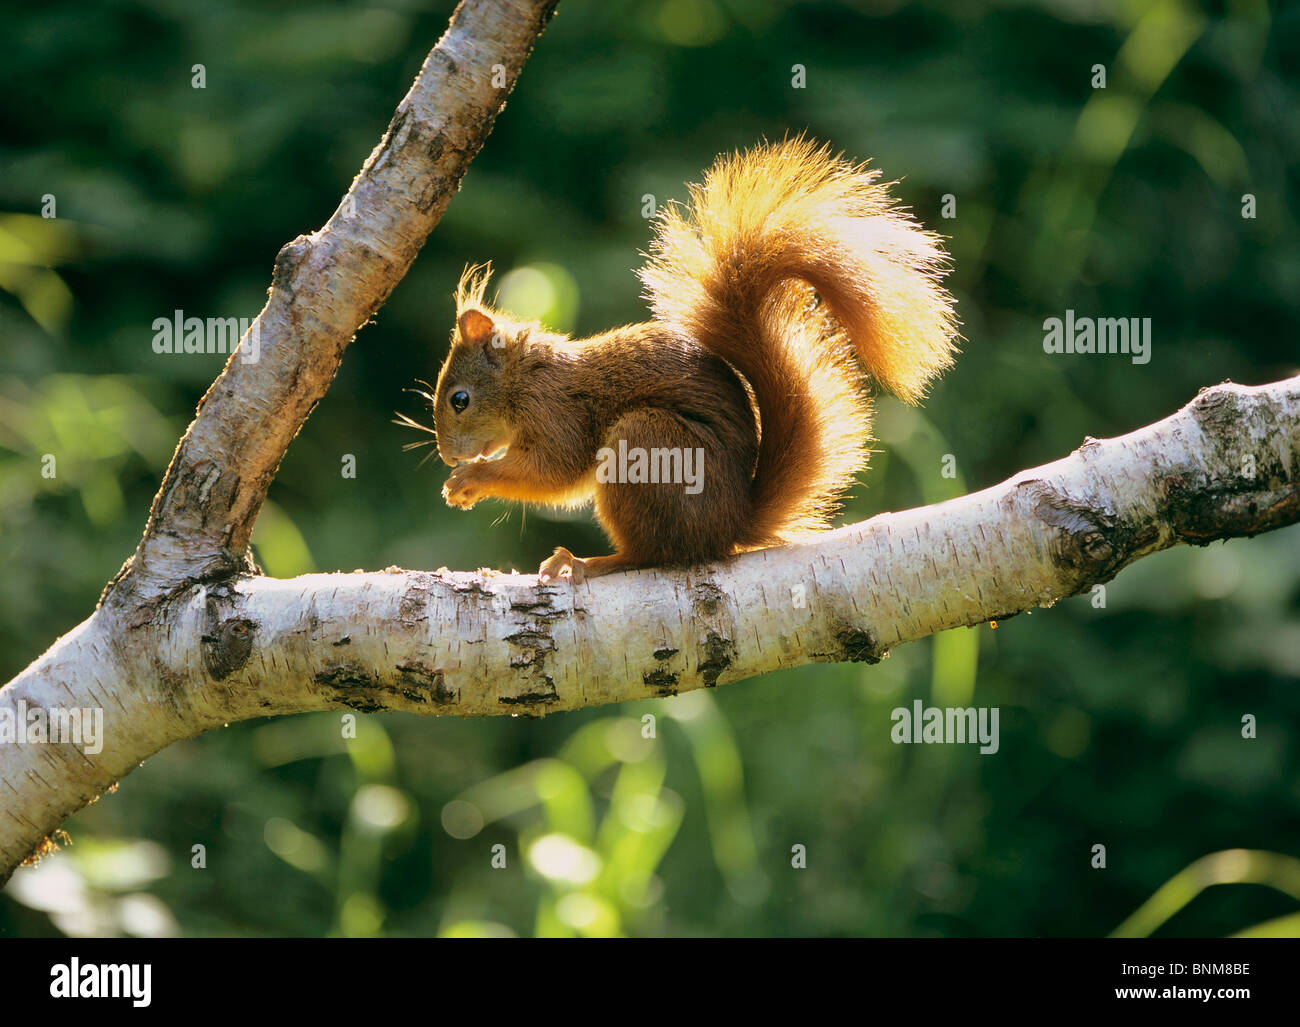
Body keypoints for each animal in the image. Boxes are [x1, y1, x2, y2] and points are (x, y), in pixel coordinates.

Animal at [423, 139, 956, 582]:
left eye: (459, 400)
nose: (448, 457)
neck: (525, 378)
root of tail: (730, 527)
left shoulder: (557, 412)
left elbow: (552, 472)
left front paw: (469, 479)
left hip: (644, 444)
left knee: (653, 554)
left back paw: (587, 561)